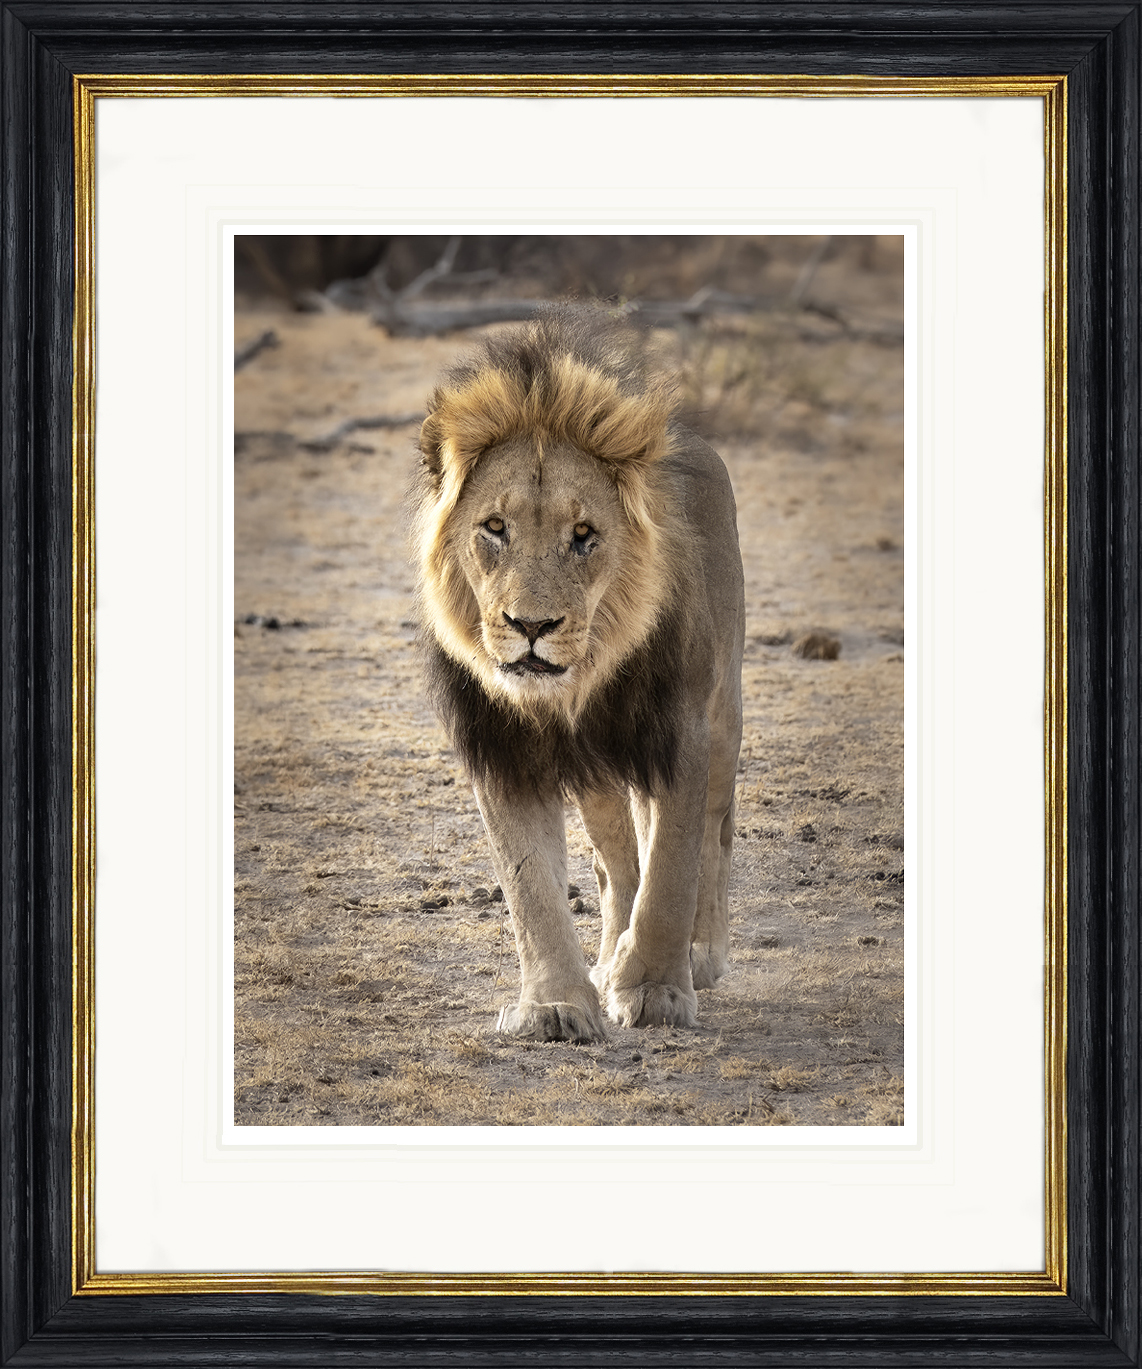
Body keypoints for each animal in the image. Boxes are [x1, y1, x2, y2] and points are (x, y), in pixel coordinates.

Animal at [414, 308, 744, 1043]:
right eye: (495, 527)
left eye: (585, 534)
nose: (531, 625)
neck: (571, 692)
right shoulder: (504, 747)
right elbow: (530, 885)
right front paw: (554, 1005)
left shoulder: (677, 733)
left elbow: (672, 867)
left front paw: (655, 988)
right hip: (596, 772)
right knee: (615, 862)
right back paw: (610, 951)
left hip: (723, 712)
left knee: (711, 834)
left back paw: (697, 953)